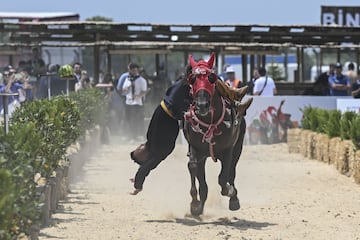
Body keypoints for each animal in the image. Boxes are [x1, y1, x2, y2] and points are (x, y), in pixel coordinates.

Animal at [183, 52, 253, 216]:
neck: (210, 122)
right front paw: (195, 204)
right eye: (192, 78)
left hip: (238, 147)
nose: (202, 105)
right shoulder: (195, 148)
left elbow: (223, 178)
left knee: (232, 171)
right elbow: (193, 167)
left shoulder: (228, 150)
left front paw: (231, 192)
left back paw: (233, 199)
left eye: (211, 77)